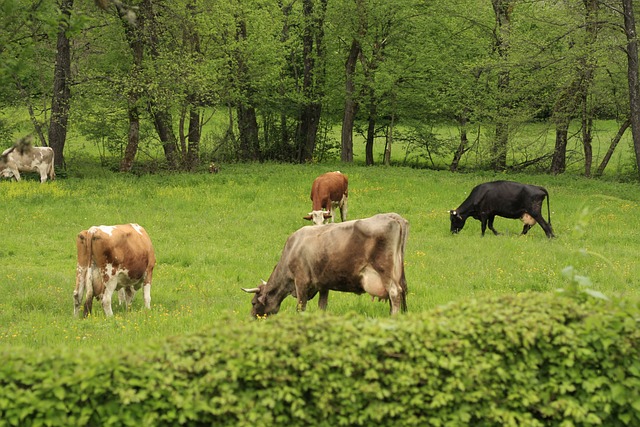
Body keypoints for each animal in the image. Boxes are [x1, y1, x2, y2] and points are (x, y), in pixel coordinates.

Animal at [242, 214, 408, 318]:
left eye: (253, 303)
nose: (251, 318)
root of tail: (393, 217)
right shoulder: (323, 285)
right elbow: (322, 307)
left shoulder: (301, 282)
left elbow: (300, 308)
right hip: (398, 272)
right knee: (402, 291)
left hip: (384, 270)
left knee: (395, 293)